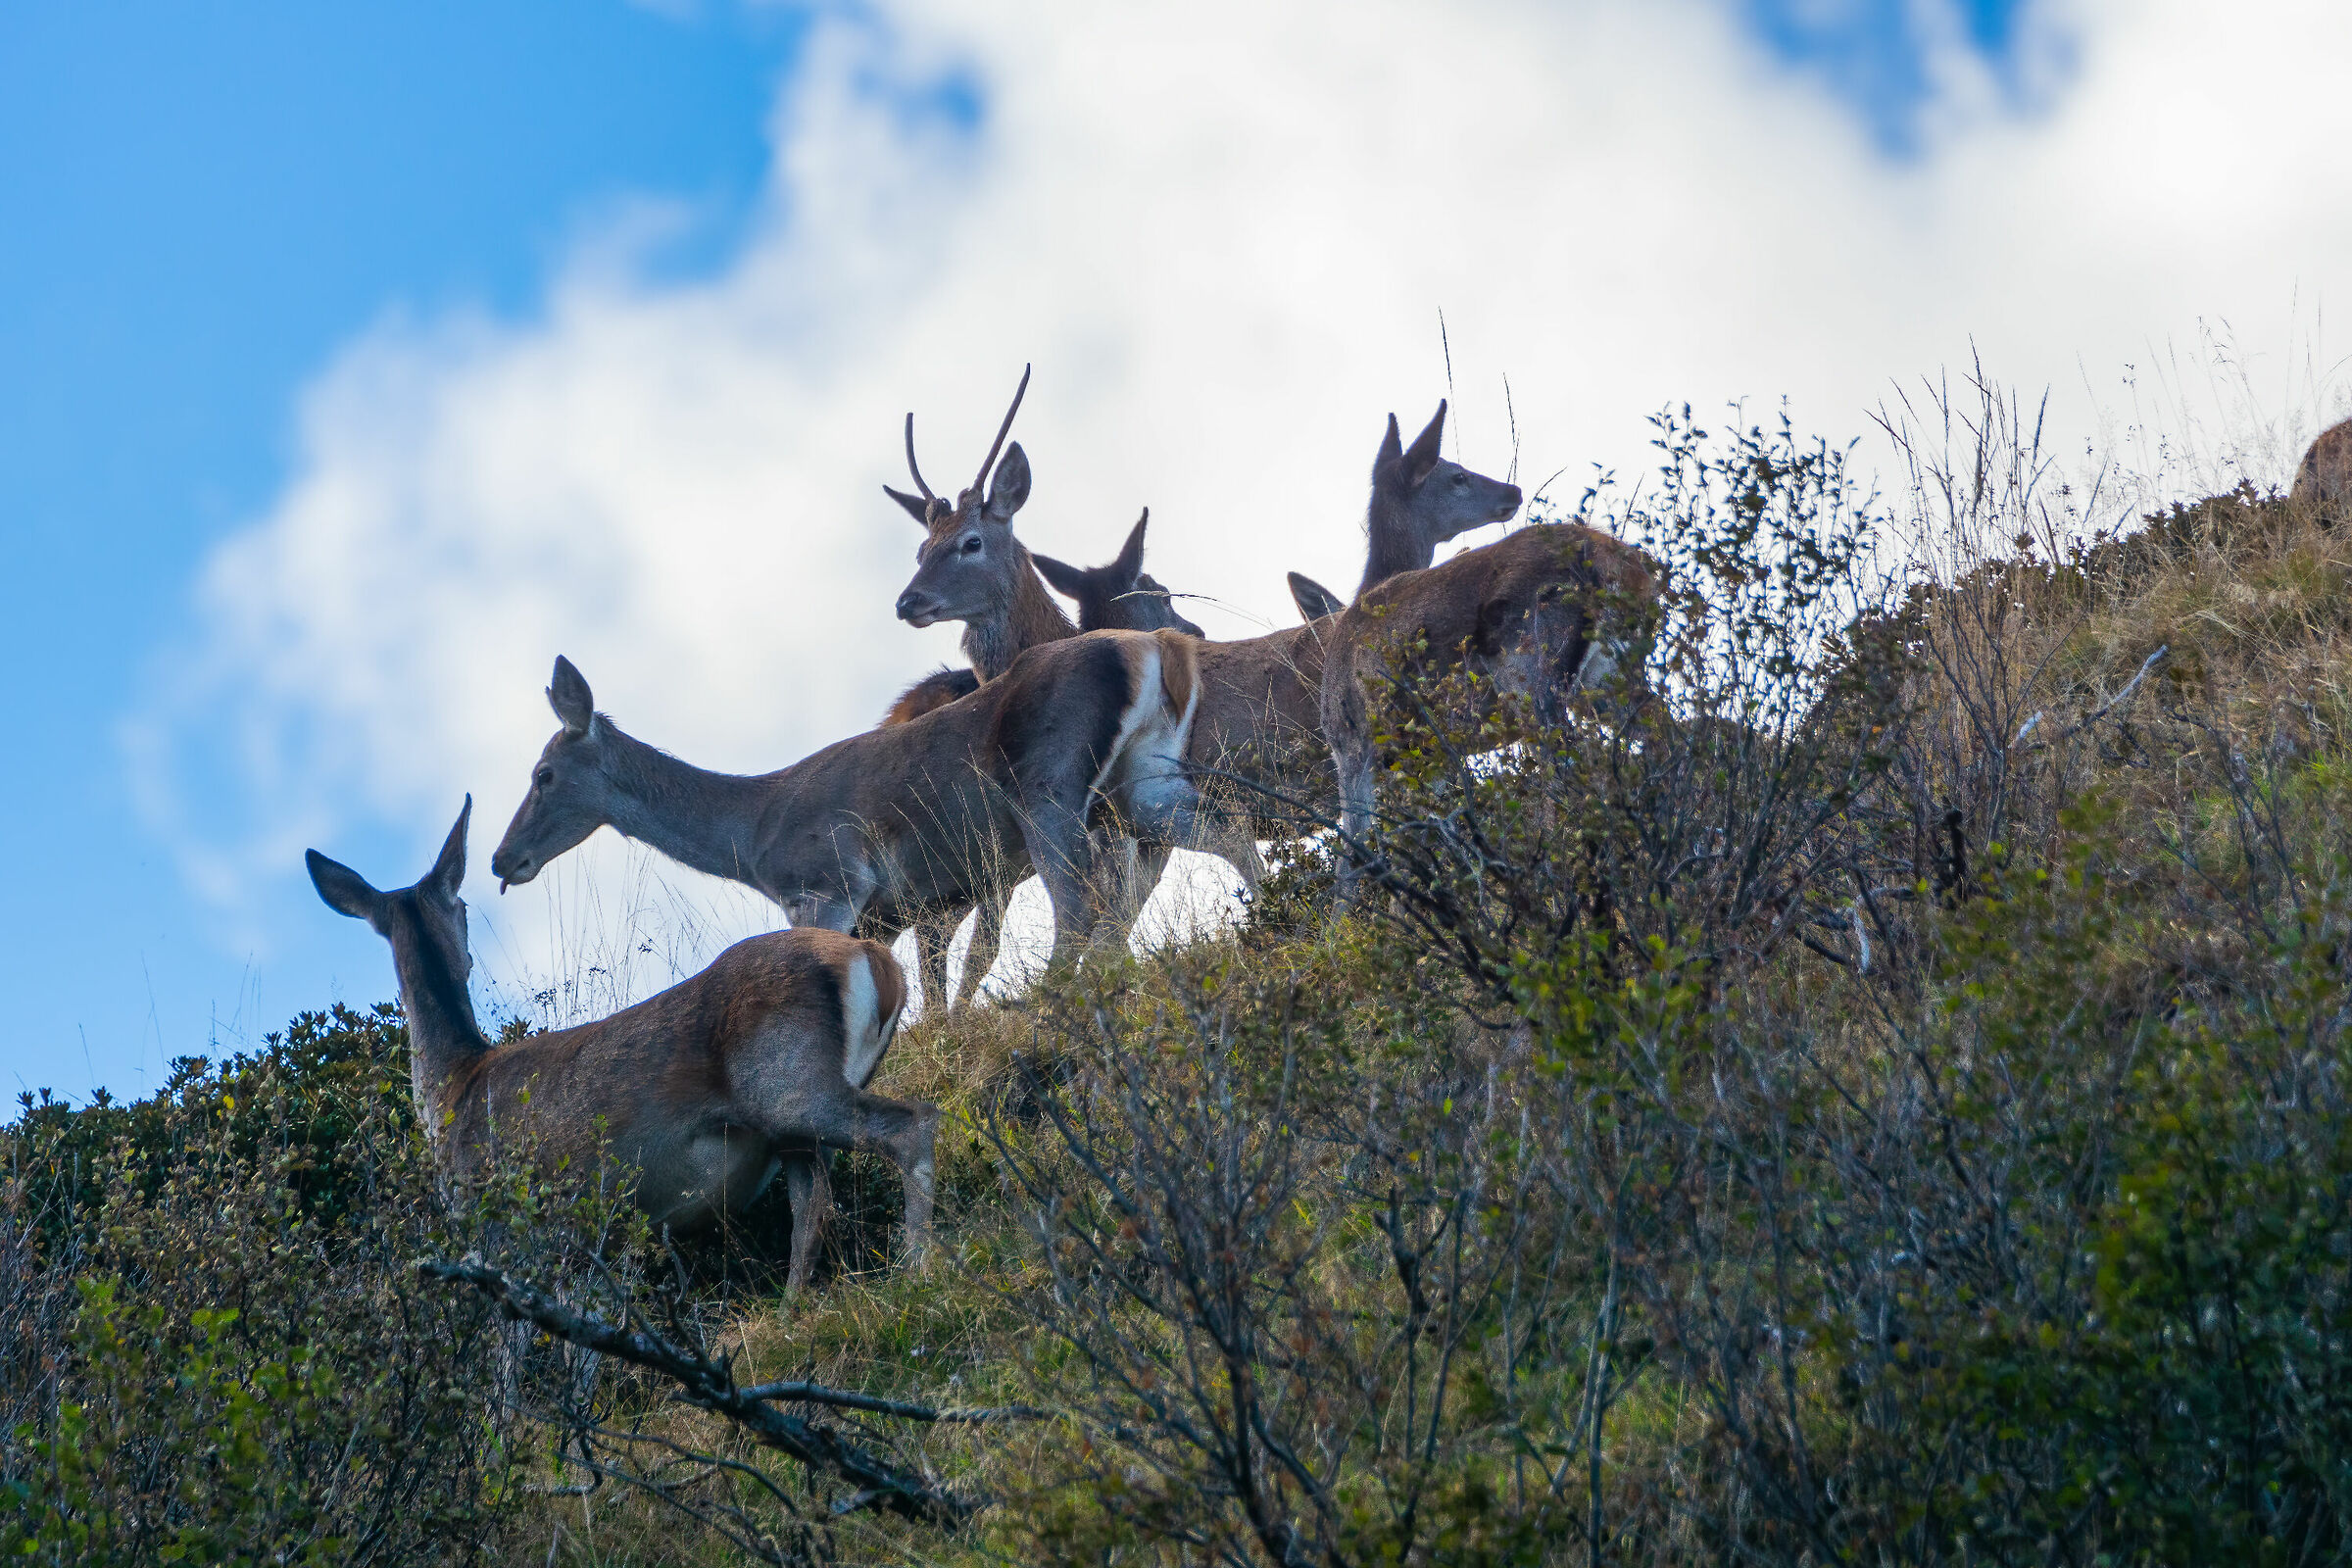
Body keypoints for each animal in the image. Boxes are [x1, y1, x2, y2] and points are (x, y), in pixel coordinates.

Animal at [307, 797, 937, 1294]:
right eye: (460, 908)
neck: (454, 1089)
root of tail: (879, 965)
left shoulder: (499, 1226)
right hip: (795, 1127)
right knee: (813, 1209)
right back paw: (792, 1309)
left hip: (789, 1082)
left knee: (914, 1123)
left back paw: (918, 1269)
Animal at [489, 632, 1202, 1002]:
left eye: (543, 774)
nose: (501, 858)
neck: (754, 836)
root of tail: (1146, 649)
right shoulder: (886, 914)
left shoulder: (827, 883)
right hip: (1141, 786)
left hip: (1049, 790)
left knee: (1082, 900)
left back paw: (1051, 1000)